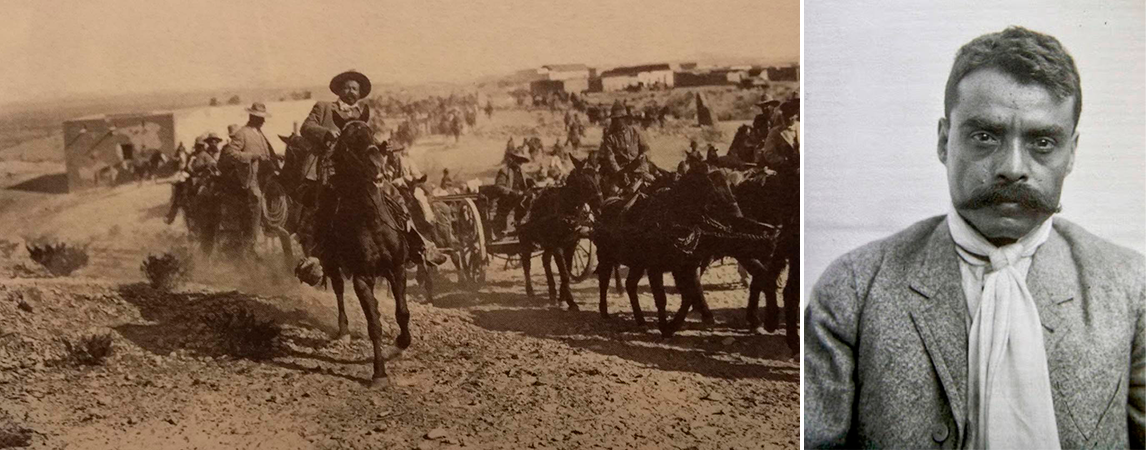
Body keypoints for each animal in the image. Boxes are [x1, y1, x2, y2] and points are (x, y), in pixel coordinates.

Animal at [311, 120, 410, 384]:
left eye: (372, 134)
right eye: (349, 141)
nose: (376, 164)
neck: (372, 222)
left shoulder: (397, 269)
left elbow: (402, 312)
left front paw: (402, 341)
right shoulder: (362, 278)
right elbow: (373, 324)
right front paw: (379, 372)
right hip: (333, 264)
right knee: (338, 290)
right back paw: (343, 330)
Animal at [517, 158, 605, 309]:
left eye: (599, 179)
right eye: (585, 183)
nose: (600, 209)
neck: (566, 209)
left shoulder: (571, 244)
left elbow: (567, 271)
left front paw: (563, 298)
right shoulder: (558, 246)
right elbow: (564, 274)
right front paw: (570, 301)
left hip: (547, 243)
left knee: (545, 260)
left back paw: (552, 293)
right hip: (525, 241)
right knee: (526, 264)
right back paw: (530, 292)